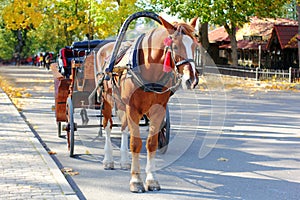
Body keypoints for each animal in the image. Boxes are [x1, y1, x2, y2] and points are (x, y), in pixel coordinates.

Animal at [96, 15, 199, 192]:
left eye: (194, 45)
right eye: (175, 46)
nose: (191, 80)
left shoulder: (158, 111)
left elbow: (151, 143)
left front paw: (151, 179)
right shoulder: (132, 108)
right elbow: (135, 143)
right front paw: (136, 180)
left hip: (122, 104)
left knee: (124, 128)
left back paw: (124, 161)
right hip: (107, 101)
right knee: (108, 126)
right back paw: (108, 160)